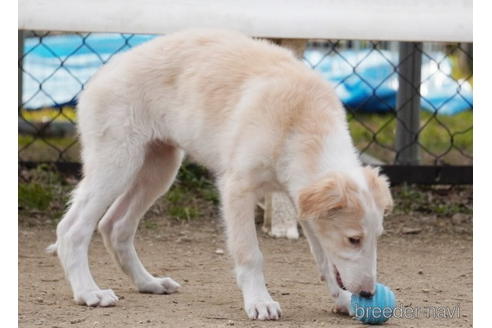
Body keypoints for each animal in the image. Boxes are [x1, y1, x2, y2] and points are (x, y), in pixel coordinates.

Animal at [48, 28, 394, 320]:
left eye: (377, 237)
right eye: (353, 239)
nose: (368, 294)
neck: (300, 123)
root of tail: (102, 72)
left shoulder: (301, 199)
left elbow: (324, 259)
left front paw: (343, 301)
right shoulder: (237, 188)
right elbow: (250, 253)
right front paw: (260, 302)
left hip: (159, 169)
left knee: (115, 226)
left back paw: (149, 283)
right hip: (117, 163)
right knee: (72, 229)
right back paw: (88, 293)